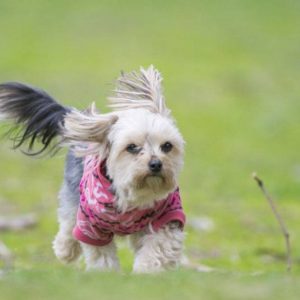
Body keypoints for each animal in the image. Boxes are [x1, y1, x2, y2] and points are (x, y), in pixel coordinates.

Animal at [0, 67, 185, 274]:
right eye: (132, 147)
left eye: (167, 146)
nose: (156, 164)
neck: (132, 197)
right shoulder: (90, 224)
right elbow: (100, 254)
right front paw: (106, 274)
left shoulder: (167, 216)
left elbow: (159, 246)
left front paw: (146, 271)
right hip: (73, 191)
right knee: (68, 222)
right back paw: (65, 250)